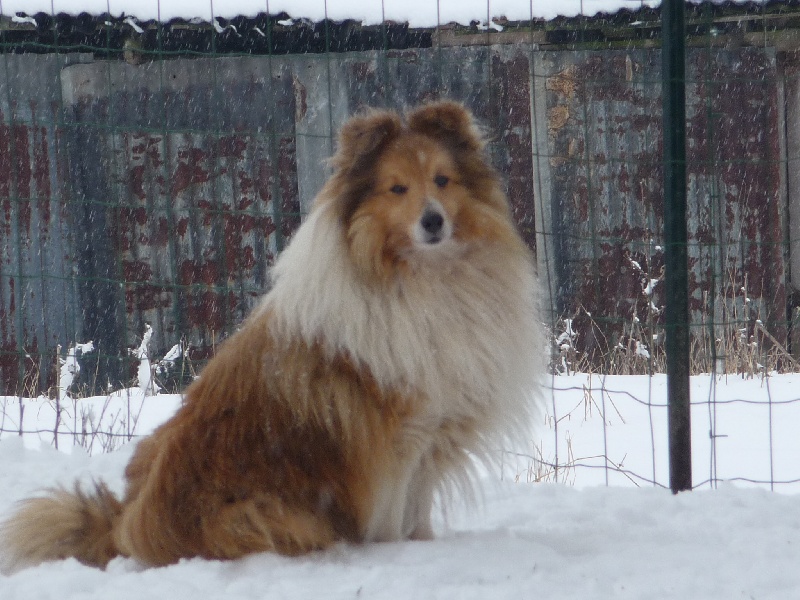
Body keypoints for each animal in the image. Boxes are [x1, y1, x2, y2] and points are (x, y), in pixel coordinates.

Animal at [0, 101, 544, 568]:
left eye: (442, 180)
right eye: (397, 189)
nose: (433, 222)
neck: (420, 277)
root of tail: (125, 528)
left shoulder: (432, 436)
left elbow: (419, 515)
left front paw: (425, 550)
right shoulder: (395, 441)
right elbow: (393, 520)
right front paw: (398, 557)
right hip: (268, 512)